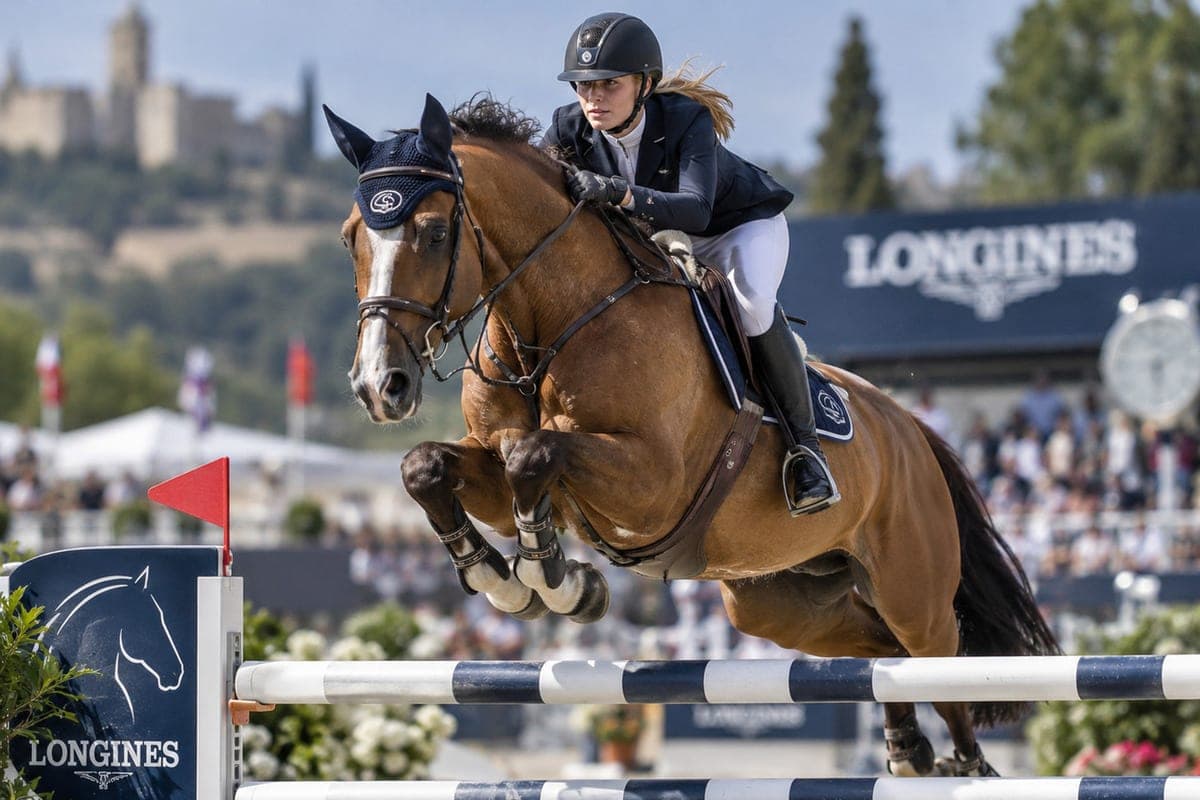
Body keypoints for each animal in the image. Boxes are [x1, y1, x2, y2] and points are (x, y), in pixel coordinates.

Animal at [324, 93, 1058, 777]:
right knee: (881, 652)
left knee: (938, 655)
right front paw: (507, 579)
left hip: (912, 585)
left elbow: (538, 454)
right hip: (778, 601)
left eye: (433, 232)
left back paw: (967, 763)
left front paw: (558, 581)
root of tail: (910, 428)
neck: (555, 325)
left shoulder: (651, 483)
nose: (378, 385)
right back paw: (908, 746)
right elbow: (426, 467)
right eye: (351, 237)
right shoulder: (501, 477)